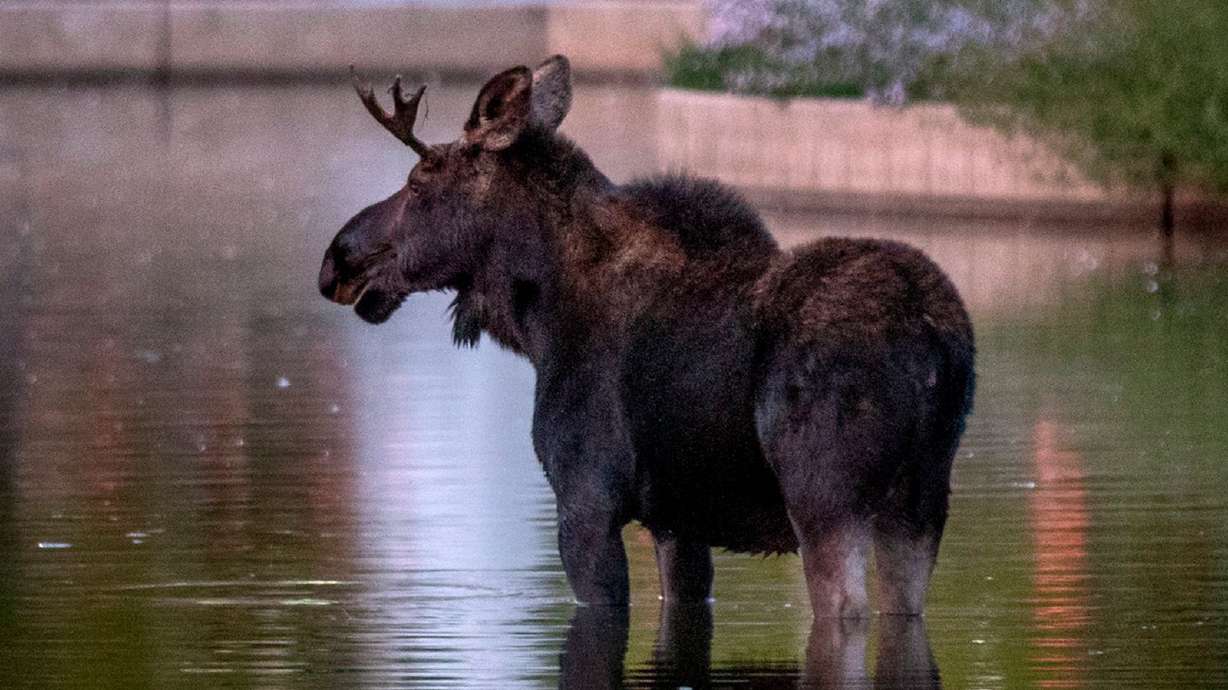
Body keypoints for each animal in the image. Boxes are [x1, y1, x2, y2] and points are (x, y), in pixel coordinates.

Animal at [318, 55, 975, 620]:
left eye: (418, 182)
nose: (336, 260)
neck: (540, 326)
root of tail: (932, 337)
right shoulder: (677, 520)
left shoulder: (586, 501)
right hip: (922, 501)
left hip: (826, 497)